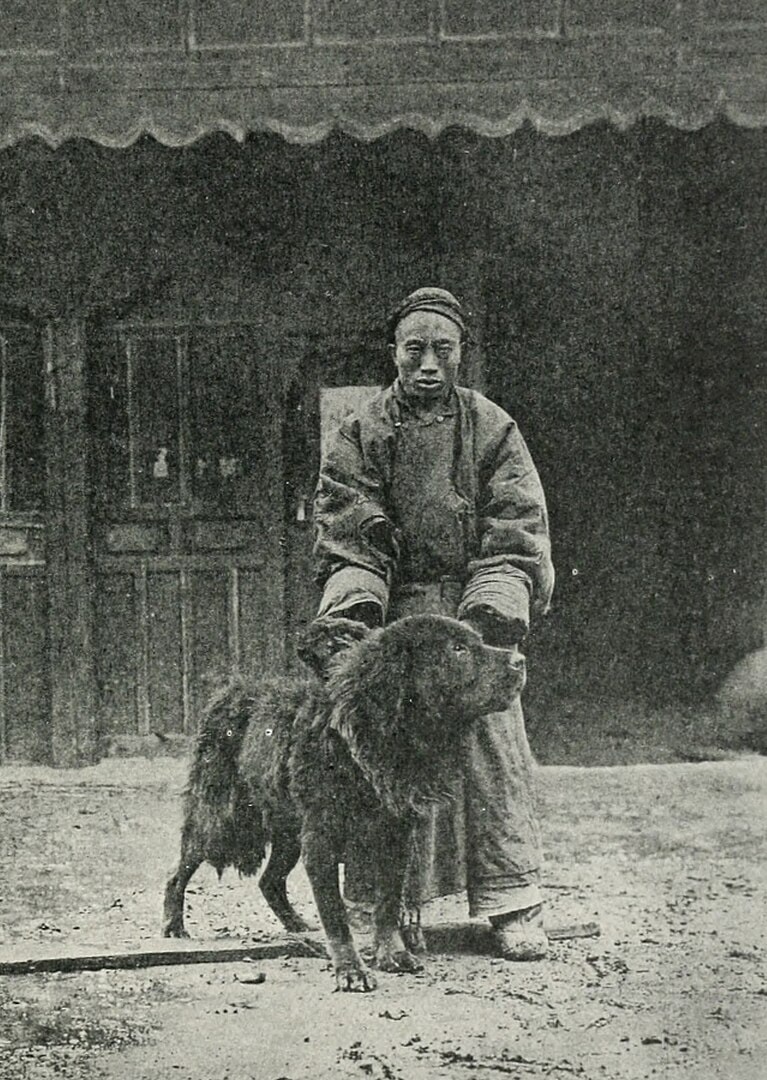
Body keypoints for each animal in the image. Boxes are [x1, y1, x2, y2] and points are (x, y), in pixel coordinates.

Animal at [164, 613, 525, 989]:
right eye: (458, 649)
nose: (521, 661)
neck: (370, 737)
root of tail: (227, 693)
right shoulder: (321, 840)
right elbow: (336, 915)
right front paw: (350, 969)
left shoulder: (395, 837)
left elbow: (387, 905)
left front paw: (392, 954)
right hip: (219, 819)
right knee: (179, 872)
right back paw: (174, 926)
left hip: (289, 832)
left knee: (269, 881)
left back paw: (296, 925)